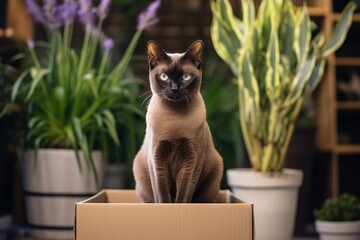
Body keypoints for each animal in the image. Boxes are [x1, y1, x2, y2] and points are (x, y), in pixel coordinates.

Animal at [132, 39, 222, 202]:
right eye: (164, 76)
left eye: (186, 77)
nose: (175, 89)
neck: (174, 118)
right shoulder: (156, 159)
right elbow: (162, 195)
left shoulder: (191, 161)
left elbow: (183, 195)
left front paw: (179, 205)